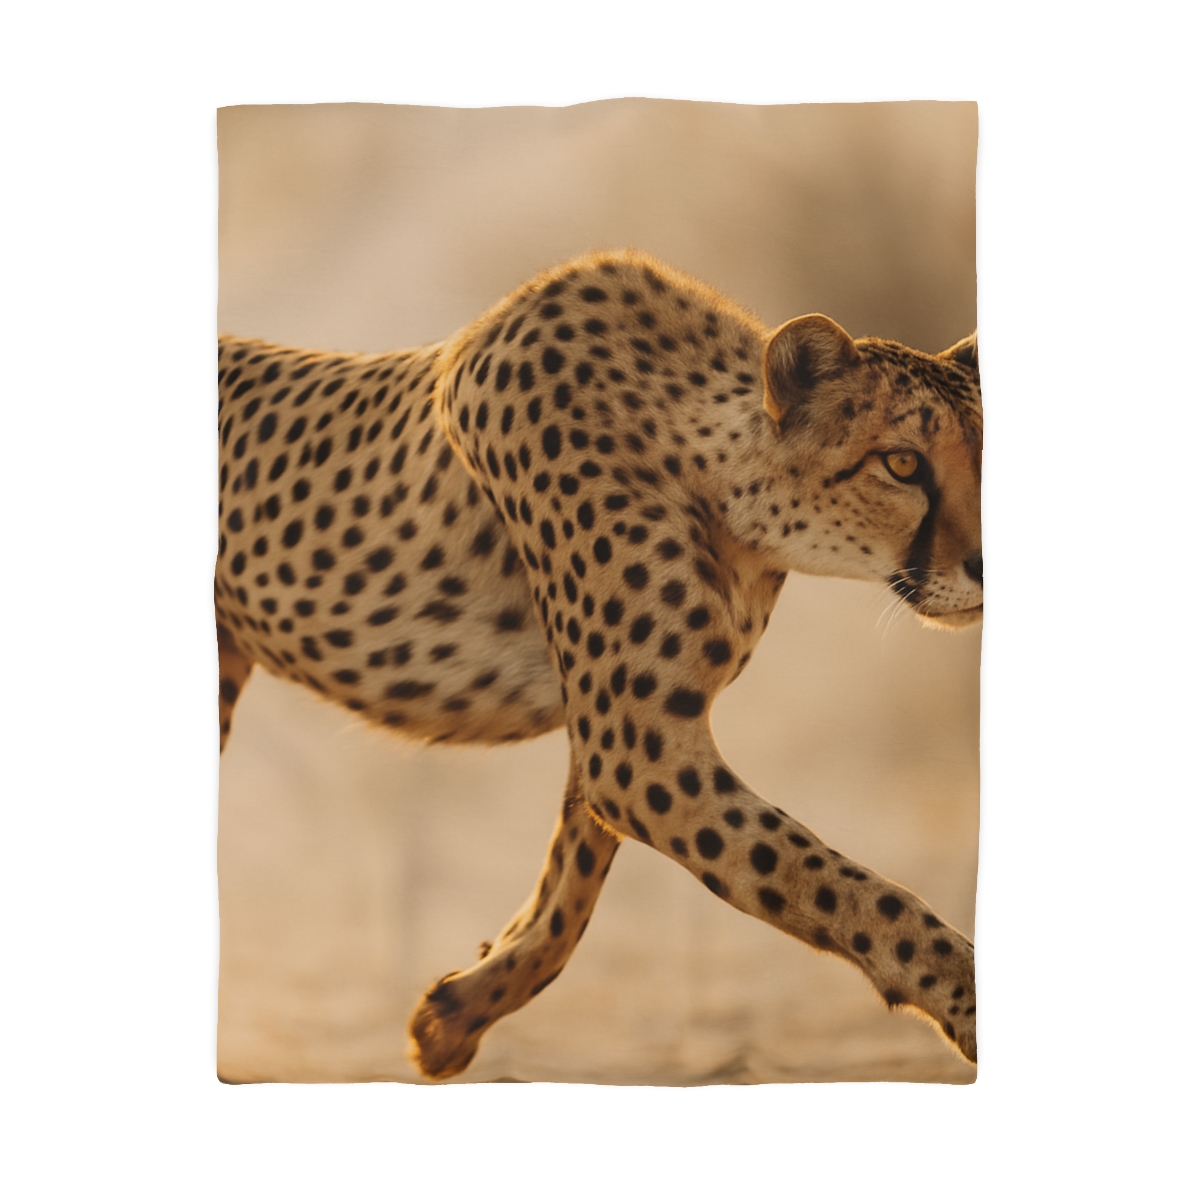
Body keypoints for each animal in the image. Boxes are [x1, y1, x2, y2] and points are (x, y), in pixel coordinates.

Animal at [216, 249, 982, 1080]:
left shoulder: (628, 730)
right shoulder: (638, 749)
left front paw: (458, 1012)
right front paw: (970, 1001)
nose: (987, 565)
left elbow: (573, 879)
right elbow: (842, 886)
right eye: (902, 464)